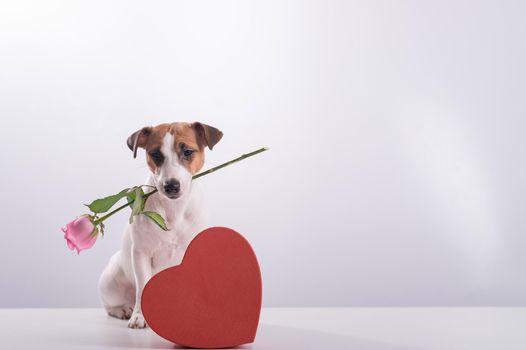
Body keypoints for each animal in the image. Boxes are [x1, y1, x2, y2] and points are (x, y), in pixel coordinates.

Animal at [98, 122, 223, 328]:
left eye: (188, 152)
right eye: (155, 154)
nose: (171, 185)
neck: (174, 210)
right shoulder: (141, 254)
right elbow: (143, 286)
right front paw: (139, 316)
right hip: (111, 280)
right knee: (110, 305)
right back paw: (124, 309)